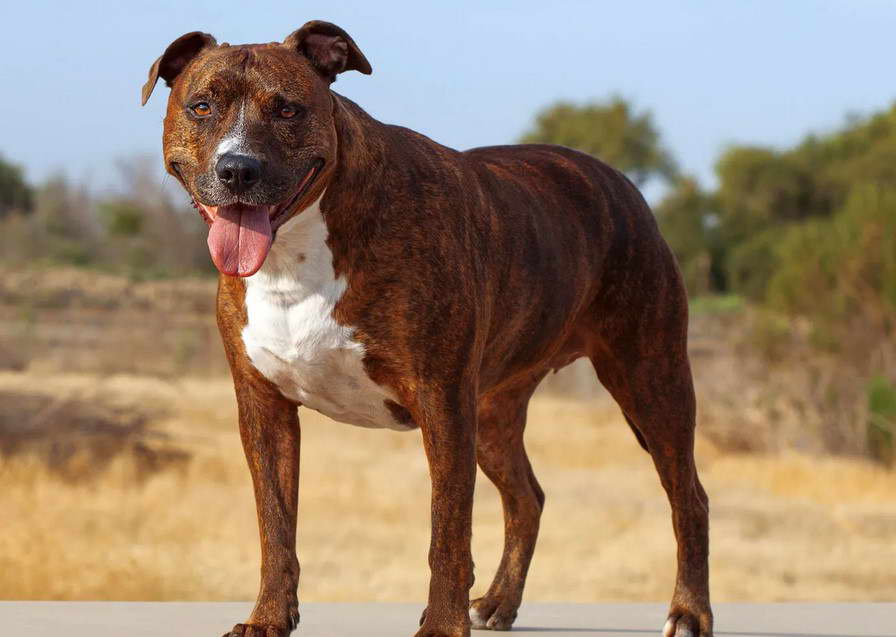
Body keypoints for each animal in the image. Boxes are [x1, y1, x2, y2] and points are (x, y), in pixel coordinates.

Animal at [144, 18, 712, 636]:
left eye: (288, 109)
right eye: (201, 106)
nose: (237, 168)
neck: (296, 255)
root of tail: (624, 186)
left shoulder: (441, 402)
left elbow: (448, 530)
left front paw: (441, 623)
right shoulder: (264, 408)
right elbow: (275, 525)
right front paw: (269, 617)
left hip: (651, 381)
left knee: (689, 498)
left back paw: (689, 612)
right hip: (493, 415)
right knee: (527, 498)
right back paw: (498, 601)